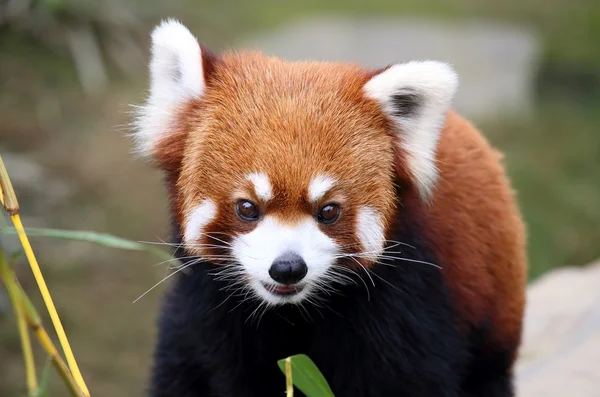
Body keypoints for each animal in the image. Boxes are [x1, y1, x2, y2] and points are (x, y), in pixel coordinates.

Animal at [134, 20, 528, 396]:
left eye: (328, 211)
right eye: (247, 207)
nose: (288, 268)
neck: (293, 310)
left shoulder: (411, 297)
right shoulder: (209, 311)